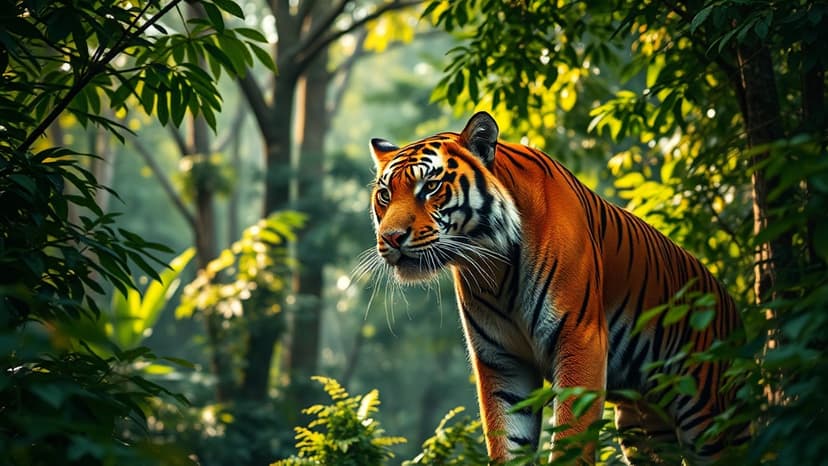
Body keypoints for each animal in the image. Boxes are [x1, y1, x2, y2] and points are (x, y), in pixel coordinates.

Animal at [365, 112, 746, 464]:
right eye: (385, 194)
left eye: (430, 187)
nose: (391, 237)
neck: (495, 265)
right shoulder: (502, 361)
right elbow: (507, 441)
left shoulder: (580, 340)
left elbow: (570, 441)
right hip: (643, 427)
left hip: (705, 414)